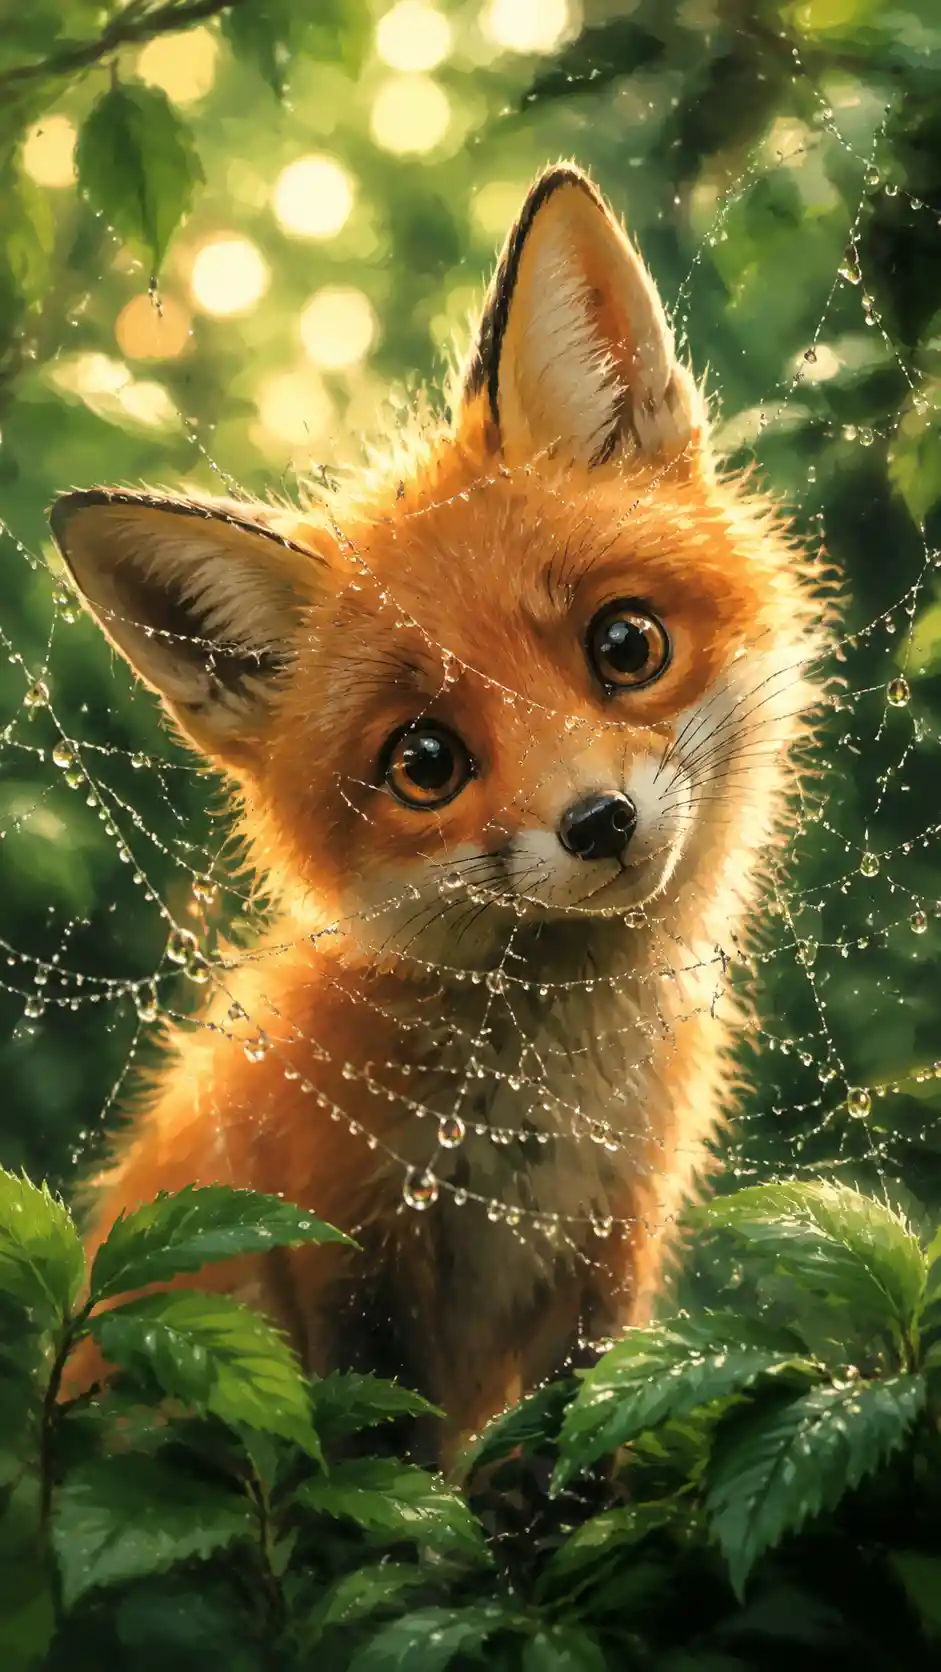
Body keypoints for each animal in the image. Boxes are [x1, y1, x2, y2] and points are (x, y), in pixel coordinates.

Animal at [50, 164, 829, 1467]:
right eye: (423, 762)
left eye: (625, 644)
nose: (599, 822)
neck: (541, 1113)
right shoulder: (333, 1256)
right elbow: (375, 1460)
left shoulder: (609, 1255)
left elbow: (578, 1426)